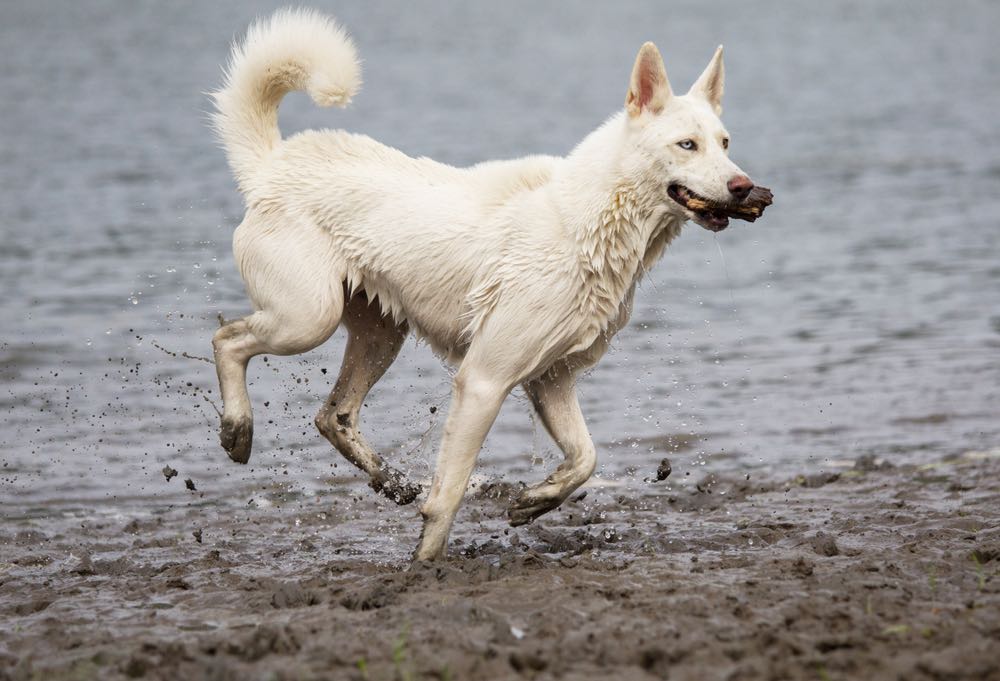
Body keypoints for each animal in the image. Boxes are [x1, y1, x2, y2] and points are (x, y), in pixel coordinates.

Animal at [209, 7, 772, 556]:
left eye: (725, 143)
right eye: (687, 145)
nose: (744, 187)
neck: (588, 220)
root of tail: (271, 166)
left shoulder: (551, 378)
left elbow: (586, 457)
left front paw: (535, 501)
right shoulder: (483, 380)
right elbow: (451, 493)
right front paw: (425, 562)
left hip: (381, 333)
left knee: (334, 415)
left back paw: (391, 482)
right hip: (308, 318)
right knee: (228, 338)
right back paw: (238, 429)